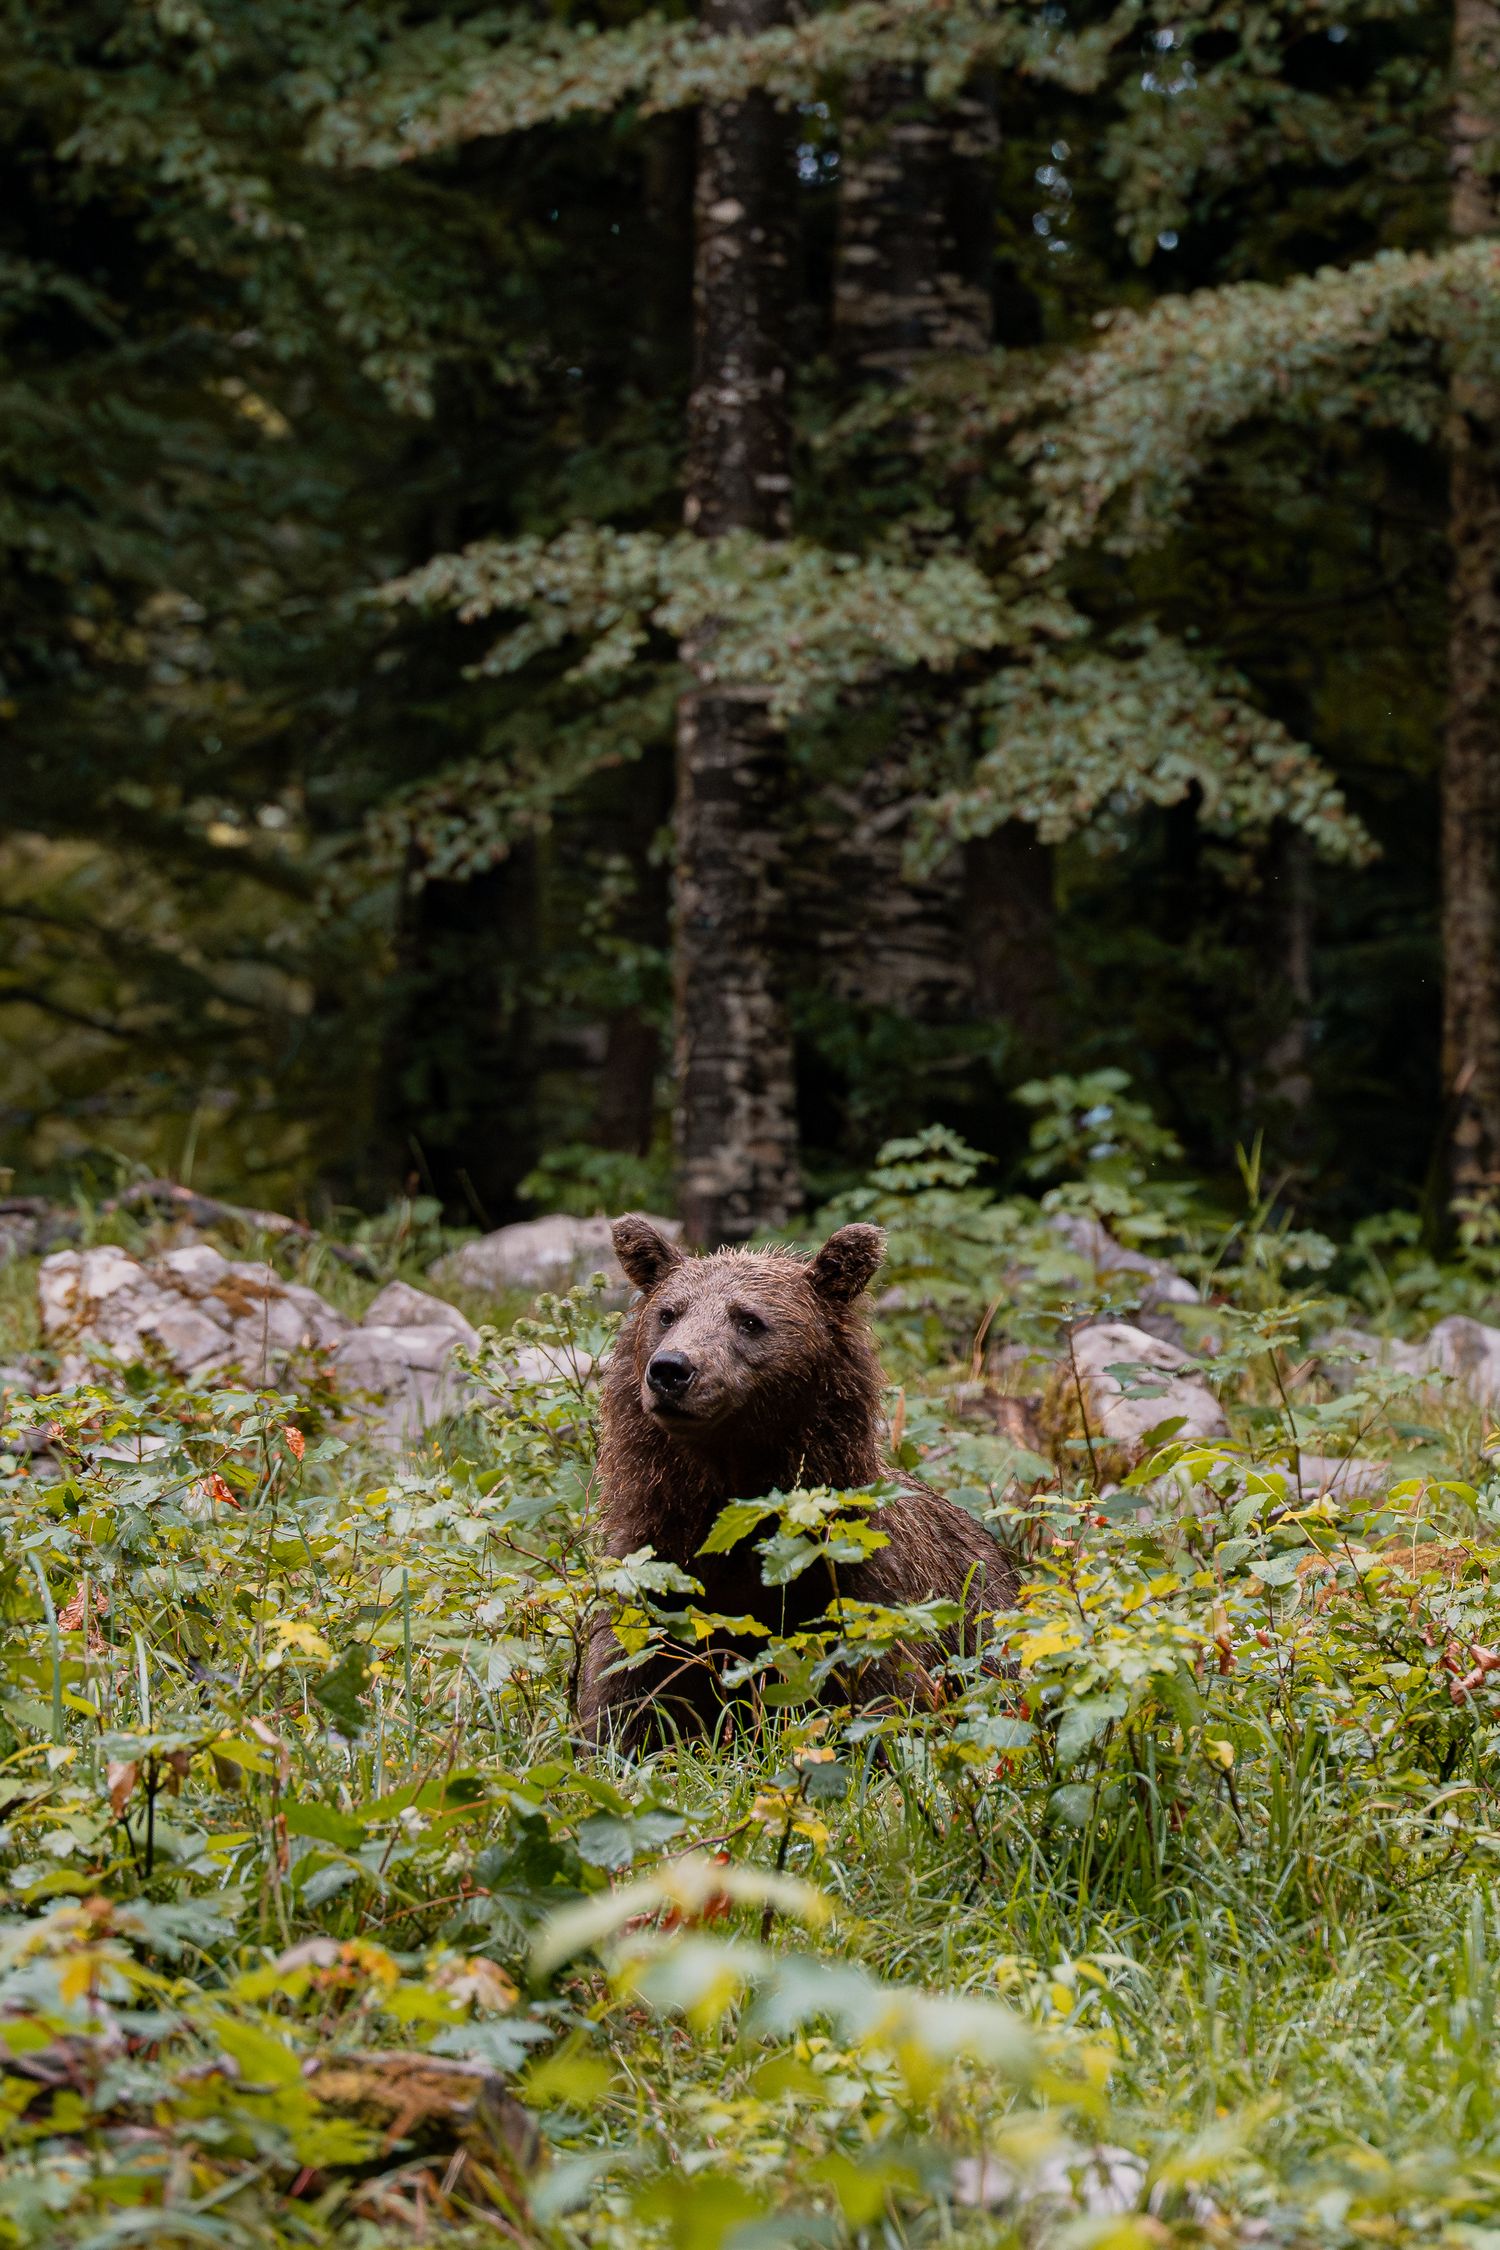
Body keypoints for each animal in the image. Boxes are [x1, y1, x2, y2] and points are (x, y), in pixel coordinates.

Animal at [575, 1213, 1016, 1750]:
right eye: (667, 1313)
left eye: (748, 1319)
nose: (671, 1369)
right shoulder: (653, 1574)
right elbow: (622, 1698)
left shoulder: (857, 1584)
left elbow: (885, 1698)